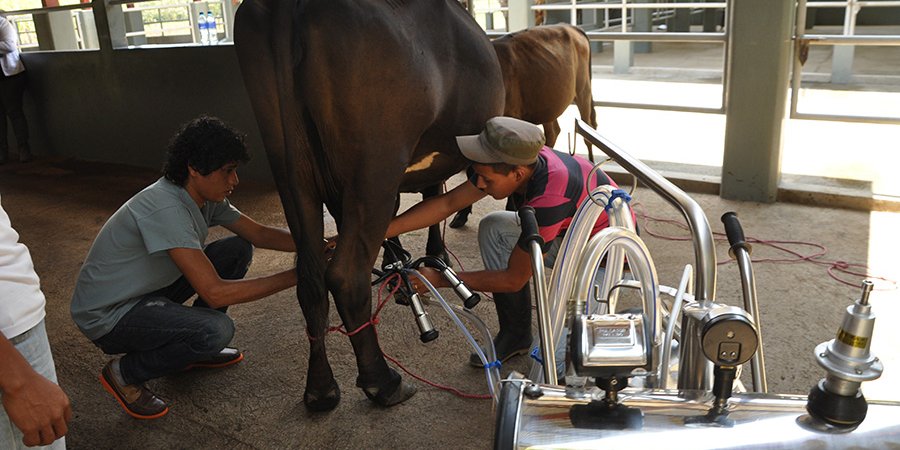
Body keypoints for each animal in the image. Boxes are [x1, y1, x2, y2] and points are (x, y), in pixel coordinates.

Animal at [232, 0, 506, 412]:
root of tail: (291, 6)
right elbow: (432, 197)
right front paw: (429, 264)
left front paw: (402, 273)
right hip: (375, 165)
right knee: (346, 274)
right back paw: (384, 382)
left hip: (291, 169)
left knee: (310, 277)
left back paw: (320, 389)